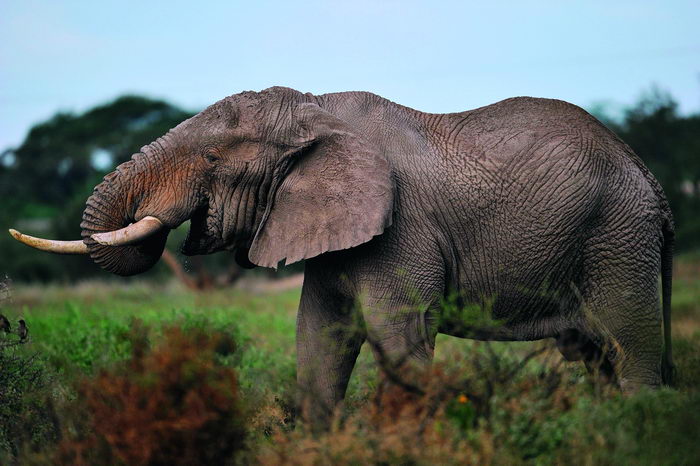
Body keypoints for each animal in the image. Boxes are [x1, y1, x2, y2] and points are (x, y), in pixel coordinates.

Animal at [13, 85, 676, 424]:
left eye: (211, 159)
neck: (316, 109)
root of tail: (651, 177)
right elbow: (317, 341)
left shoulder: (403, 230)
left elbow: (397, 342)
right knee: (595, 356)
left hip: (618, 238)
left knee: (632, 349)